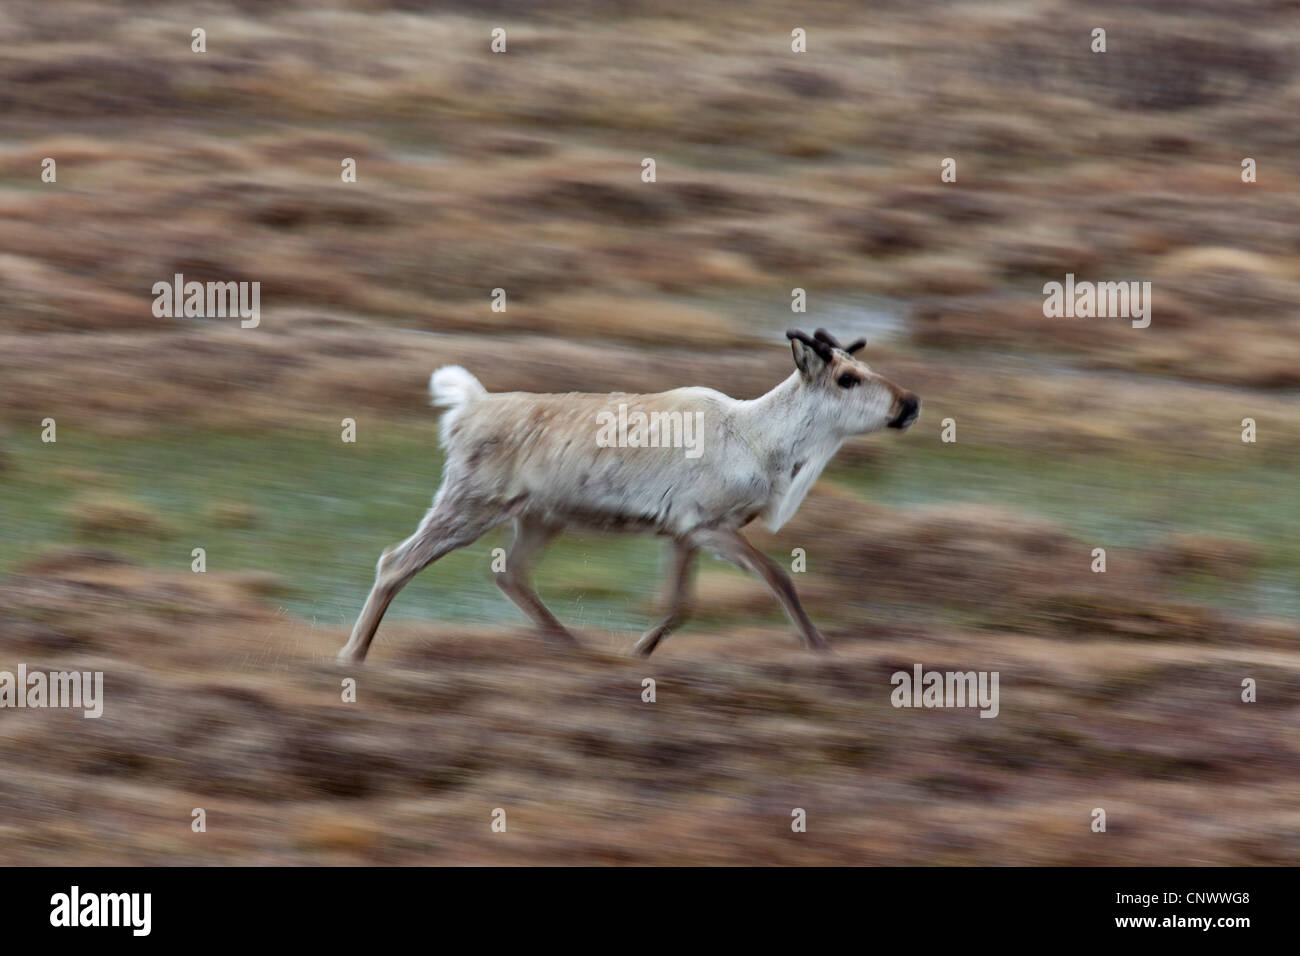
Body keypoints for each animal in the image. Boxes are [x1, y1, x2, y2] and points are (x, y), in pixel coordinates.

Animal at [340, 330, 920, 665]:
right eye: (847, 378)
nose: (911, 403)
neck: (763, 439)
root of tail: (468, 406)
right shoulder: (708, 526)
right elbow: (778, 578)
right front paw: (822, 648)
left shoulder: (682, 533)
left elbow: (680, 605)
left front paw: (638, 653)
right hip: (469, 505)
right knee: (396, 562)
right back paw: (353, 654)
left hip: (540, 518)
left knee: (511, 574)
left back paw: (576, 647)